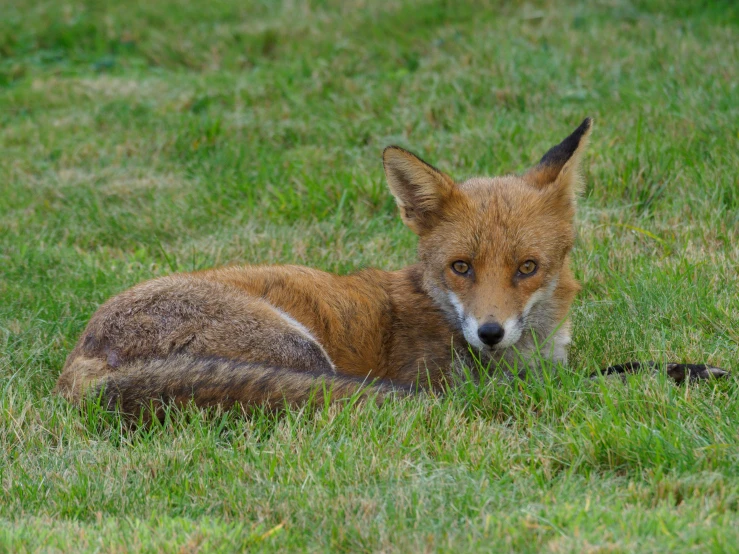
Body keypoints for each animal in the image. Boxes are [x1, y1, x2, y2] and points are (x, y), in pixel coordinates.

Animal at [56, 117, 728, 418]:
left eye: (528, 267)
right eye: (461, 267)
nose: (489, 332)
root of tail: (80, 359)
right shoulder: (478, 385)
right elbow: (602, 379)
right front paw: (687, 374)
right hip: (301, 353)